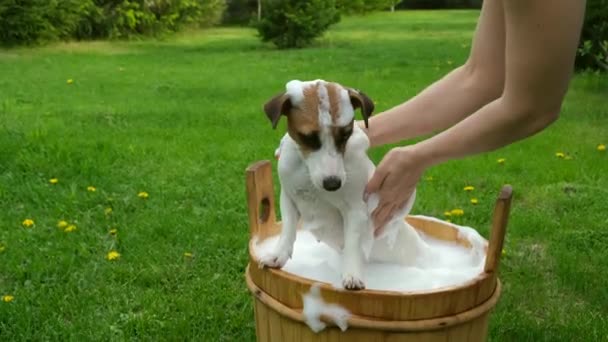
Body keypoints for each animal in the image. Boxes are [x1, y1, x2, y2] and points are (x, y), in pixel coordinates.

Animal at [258, 81, 434, 292]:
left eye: (346, 134)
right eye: (308, 137)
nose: (333, 183)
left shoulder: (355, 210)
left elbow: (352, 243)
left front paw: (352, 273)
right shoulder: (289, 197)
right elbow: (288, 229)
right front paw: (279, 254)